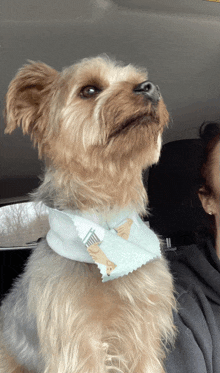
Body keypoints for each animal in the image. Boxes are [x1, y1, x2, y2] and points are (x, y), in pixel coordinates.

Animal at [0, 55, 175, 372]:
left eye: (138, 78)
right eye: (89, 90)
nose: (150, 87)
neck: (106, 220)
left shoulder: (143, 335)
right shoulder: (77, 341)